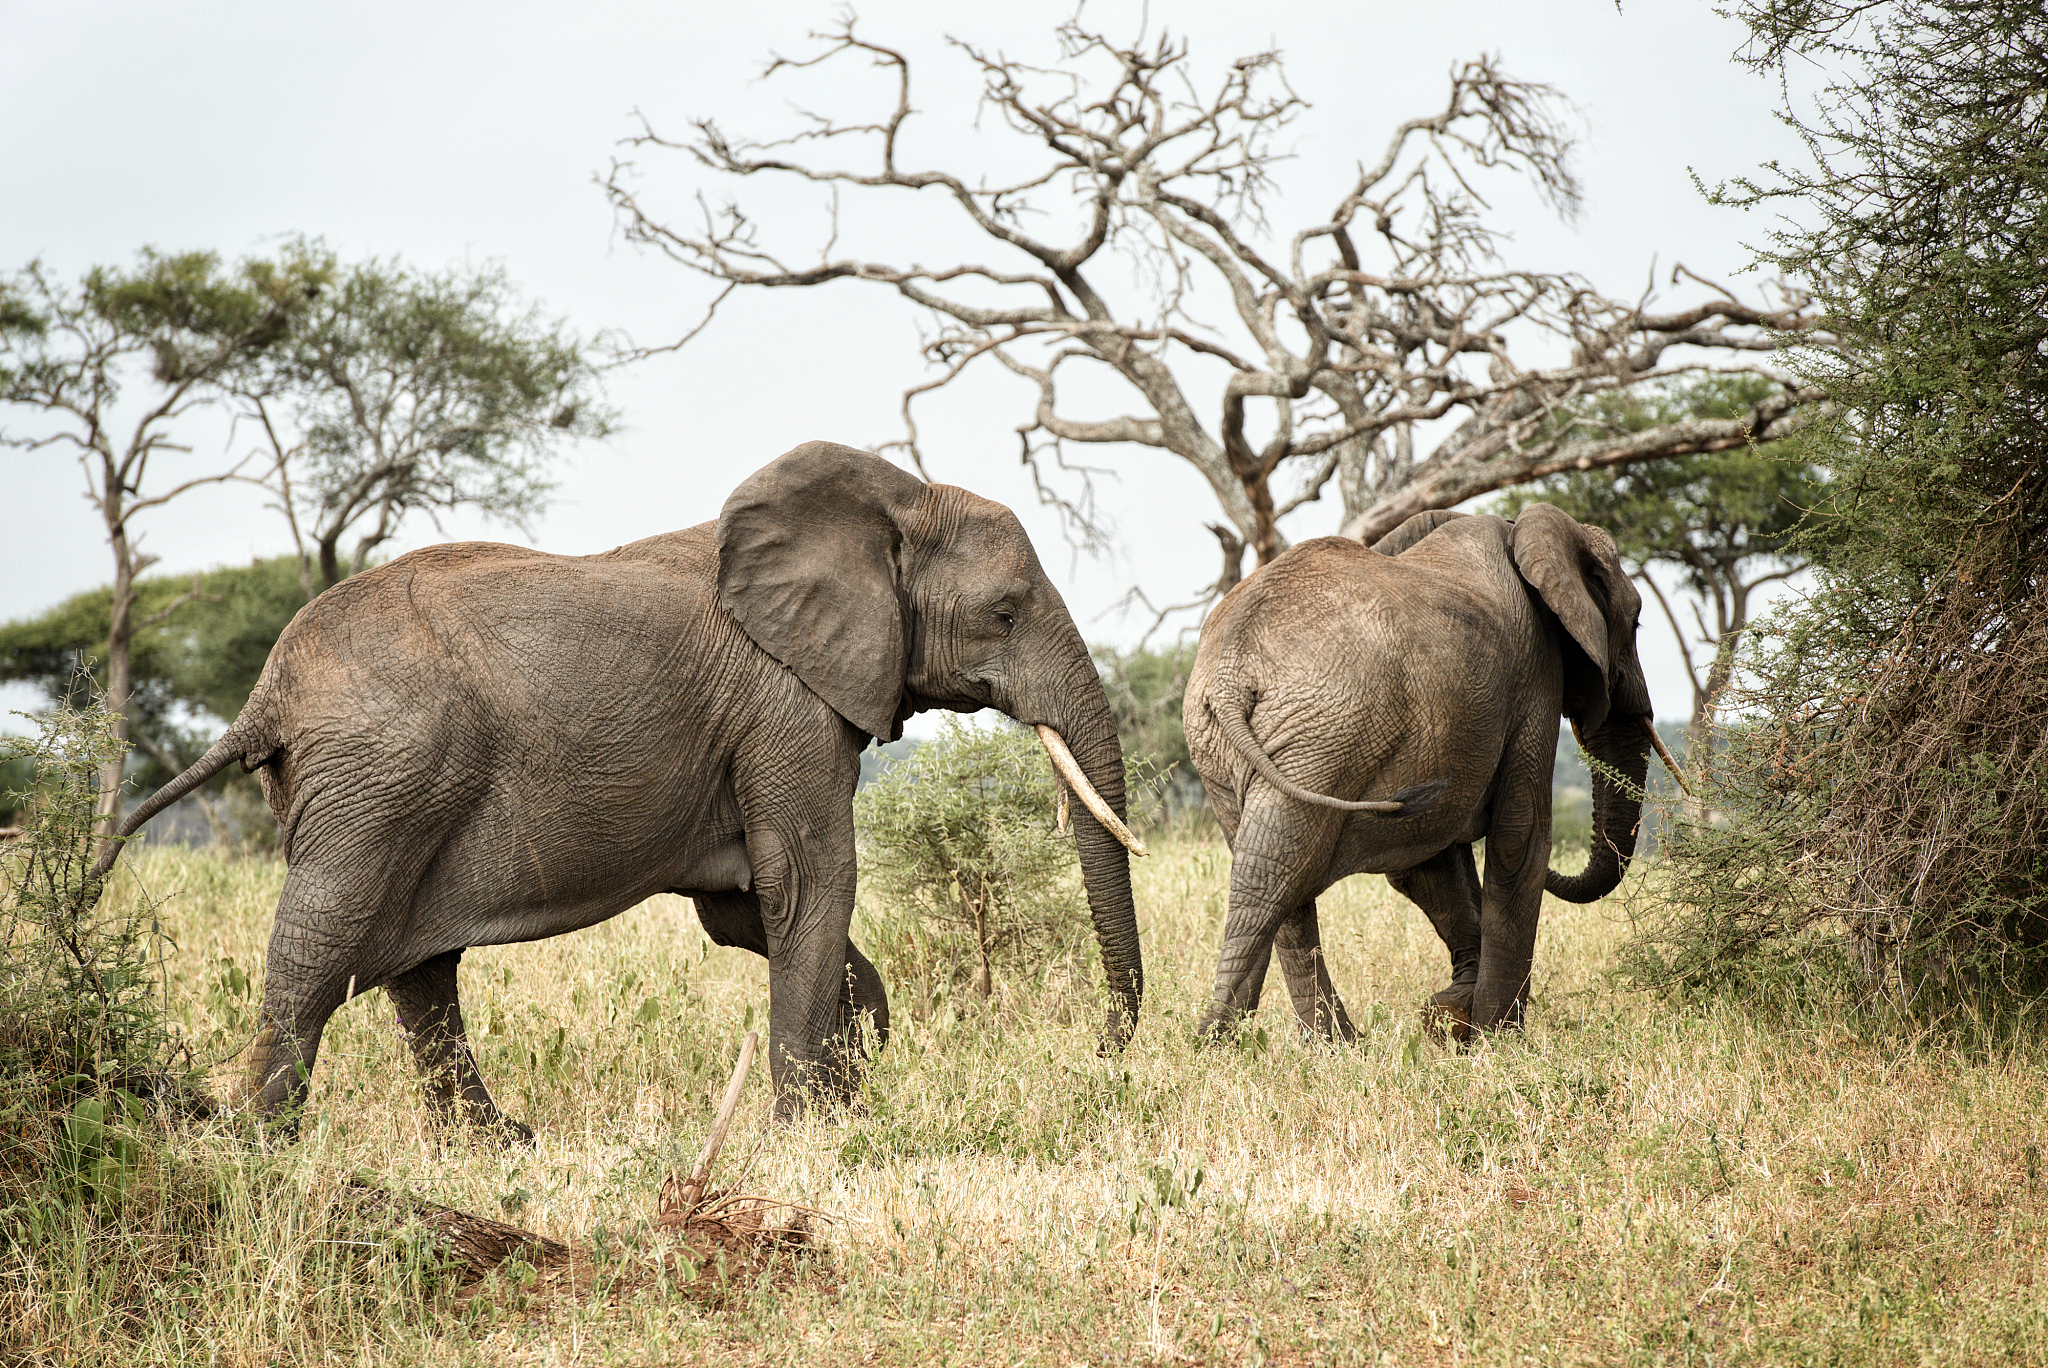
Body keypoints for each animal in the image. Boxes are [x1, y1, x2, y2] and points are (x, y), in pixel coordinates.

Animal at [91, 441, 1146, 1138]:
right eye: (1004, 613)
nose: (1105, 1052)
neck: (895, 500)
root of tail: (266, 691)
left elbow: (746, 910)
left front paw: (856, 1067)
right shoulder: (786, 702)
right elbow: (810, 883)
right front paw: (817, 1127)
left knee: (418, 969)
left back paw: (496, 1145)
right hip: (379, 777)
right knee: (324, 943)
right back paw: (258, 1144)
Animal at [1181, 503, 1658, 1044]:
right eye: (1636, 621)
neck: (1519, 533)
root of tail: (1228, 674)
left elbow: (1427, 863)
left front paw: (1453, 1015)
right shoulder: (1536, 672)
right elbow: (1519, 838)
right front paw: (1497, 1039)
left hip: (1232, 748)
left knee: (1272, 875)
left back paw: (1329, 1048)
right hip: (1323, 734)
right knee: (1275, 877)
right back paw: (1222, 1045)